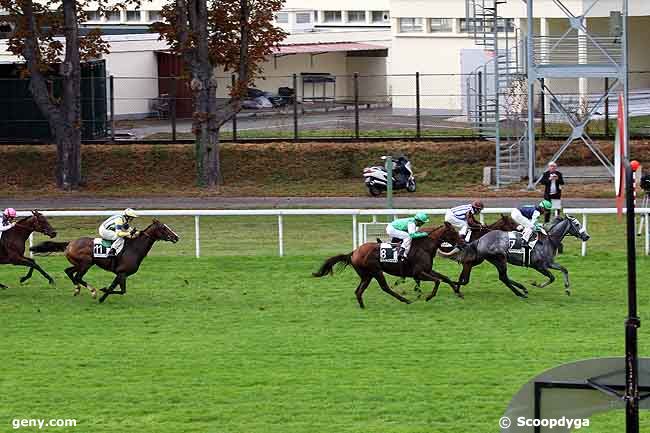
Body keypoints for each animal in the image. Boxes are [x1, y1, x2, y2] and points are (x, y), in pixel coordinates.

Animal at [29, 218, 177, 302]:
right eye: (163, 228)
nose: (176, 237)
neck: (134, 248)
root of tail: (70, 243)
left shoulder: (121, 274)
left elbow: (118, 289)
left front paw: (103, 295)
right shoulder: (122, 273)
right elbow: (118, 289)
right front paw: (102, 293)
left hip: (81, 264)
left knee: (69, 272)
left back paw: (77, 289)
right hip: (86, 263)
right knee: (77, 276)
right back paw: (92, 291)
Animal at [312, 223, 460, 308]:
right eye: (454, 232)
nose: (463, 241)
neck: (424, 247)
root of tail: (354, 252)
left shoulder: (427, 270)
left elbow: (444, 278)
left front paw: (458, 291)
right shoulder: (418, 273)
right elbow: (437, 280)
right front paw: (429, 297)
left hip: (367, 275)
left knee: (358, 291)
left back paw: (362, 306)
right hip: (376, 271)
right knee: (385, 288)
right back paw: (405, 300)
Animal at [432, 215, 588, 298]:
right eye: (576, 224)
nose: (587, 236)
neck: (549, 240)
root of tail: (480, 239)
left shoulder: (549, 263)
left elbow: (564, 269)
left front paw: (567, 288)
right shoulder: (539, 265)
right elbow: (551, 277)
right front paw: (536, 284)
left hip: (491, 260)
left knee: (503, 277)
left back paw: (521, 290)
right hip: (499, 258)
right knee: (503, 277)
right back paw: (521, 292)